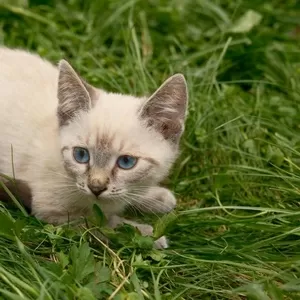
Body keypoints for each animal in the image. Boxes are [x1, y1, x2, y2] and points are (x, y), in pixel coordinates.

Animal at [0, 47, 188, 248]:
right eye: (81, 155)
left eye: (126, 162)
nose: (96, 187)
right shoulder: (55, 212)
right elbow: (107, 226)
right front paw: (149, 236)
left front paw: (156, 196)